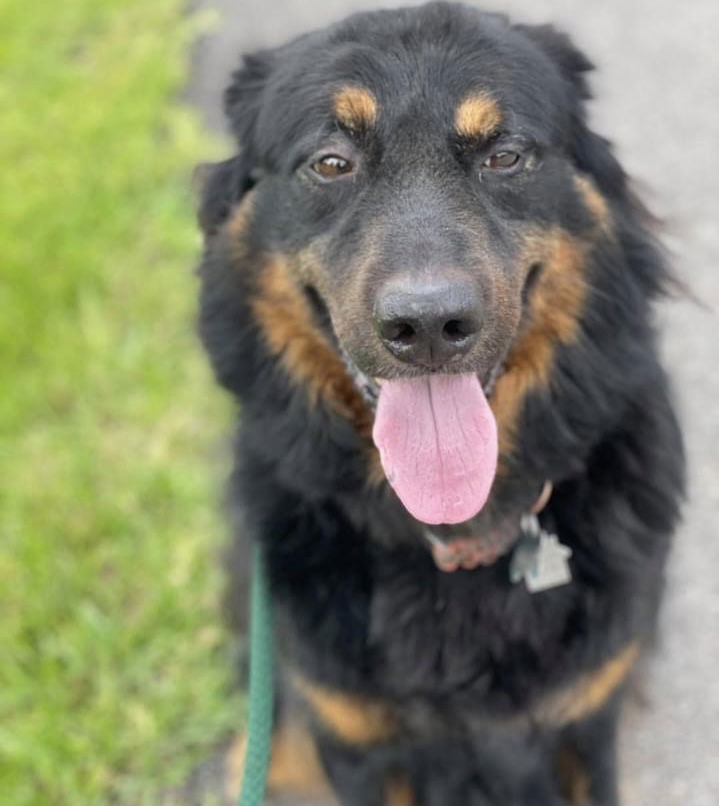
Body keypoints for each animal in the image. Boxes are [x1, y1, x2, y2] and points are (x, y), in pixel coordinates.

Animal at [195, 3, 688, 804]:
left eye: (505, 156)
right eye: (331, 162)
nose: (427, 325)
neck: (451, 534)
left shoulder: (588, 721)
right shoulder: (354, 743)